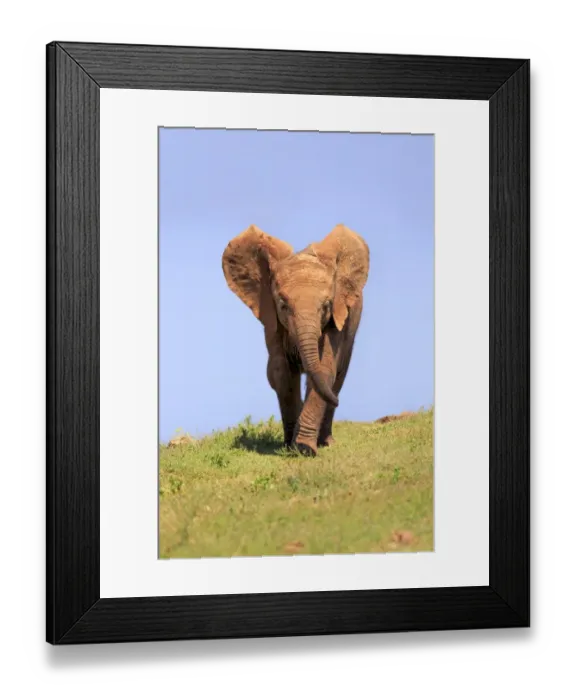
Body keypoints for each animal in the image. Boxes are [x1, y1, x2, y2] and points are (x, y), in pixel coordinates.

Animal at [222, 223, 369, 457]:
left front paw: (304, 449)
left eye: (327, 305)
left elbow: (324, 369)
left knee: (338, 378)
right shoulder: (272, 319)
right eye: (283, 305)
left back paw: (326, 441)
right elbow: (281, 373)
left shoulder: (338, 318)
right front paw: (290, 447)